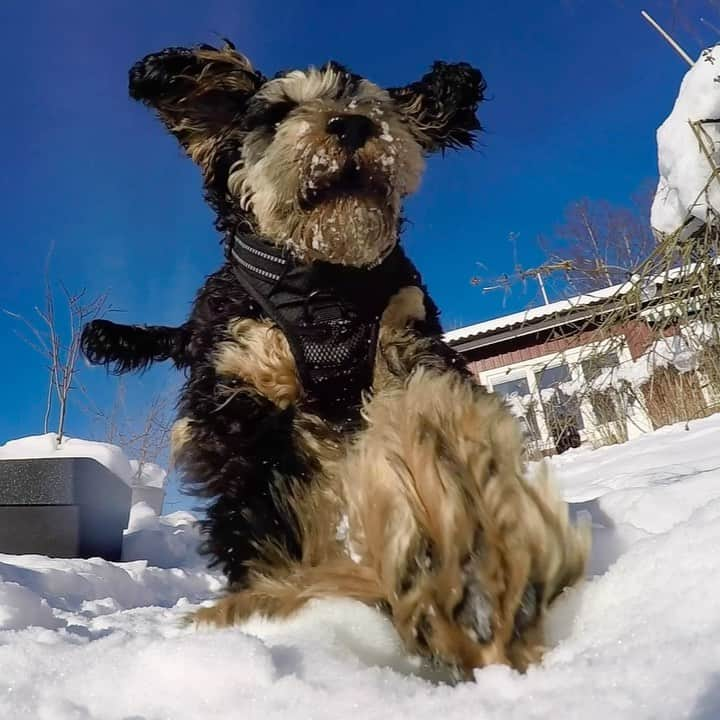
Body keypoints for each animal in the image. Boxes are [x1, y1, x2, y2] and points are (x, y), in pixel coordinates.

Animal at [83, 42, 592, 684]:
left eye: (370, 104)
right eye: (277, 113)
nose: (350, 125)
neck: (323, 283)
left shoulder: (406, 345)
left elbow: (435, 430)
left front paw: (466, 553)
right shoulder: (245, 401)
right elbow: (263, 514)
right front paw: (281, 599)